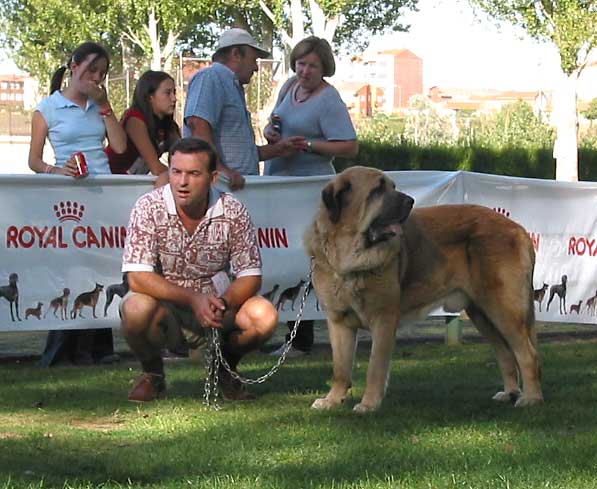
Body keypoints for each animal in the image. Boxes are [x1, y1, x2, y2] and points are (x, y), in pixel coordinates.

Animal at [304, 166, 544, 410]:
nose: (410, 201)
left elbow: (375, 367)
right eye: (377, 190)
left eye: (392, 186)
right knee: (505, 352)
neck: (348, 256)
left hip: (502, 309)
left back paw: (531, 398)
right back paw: (511, 392)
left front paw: (369, 404)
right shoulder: (338, 321)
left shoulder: (383, 319)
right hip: (482, 313)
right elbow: (340, 368)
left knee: (528, 354)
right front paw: (333, 400)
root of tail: (518, 229)